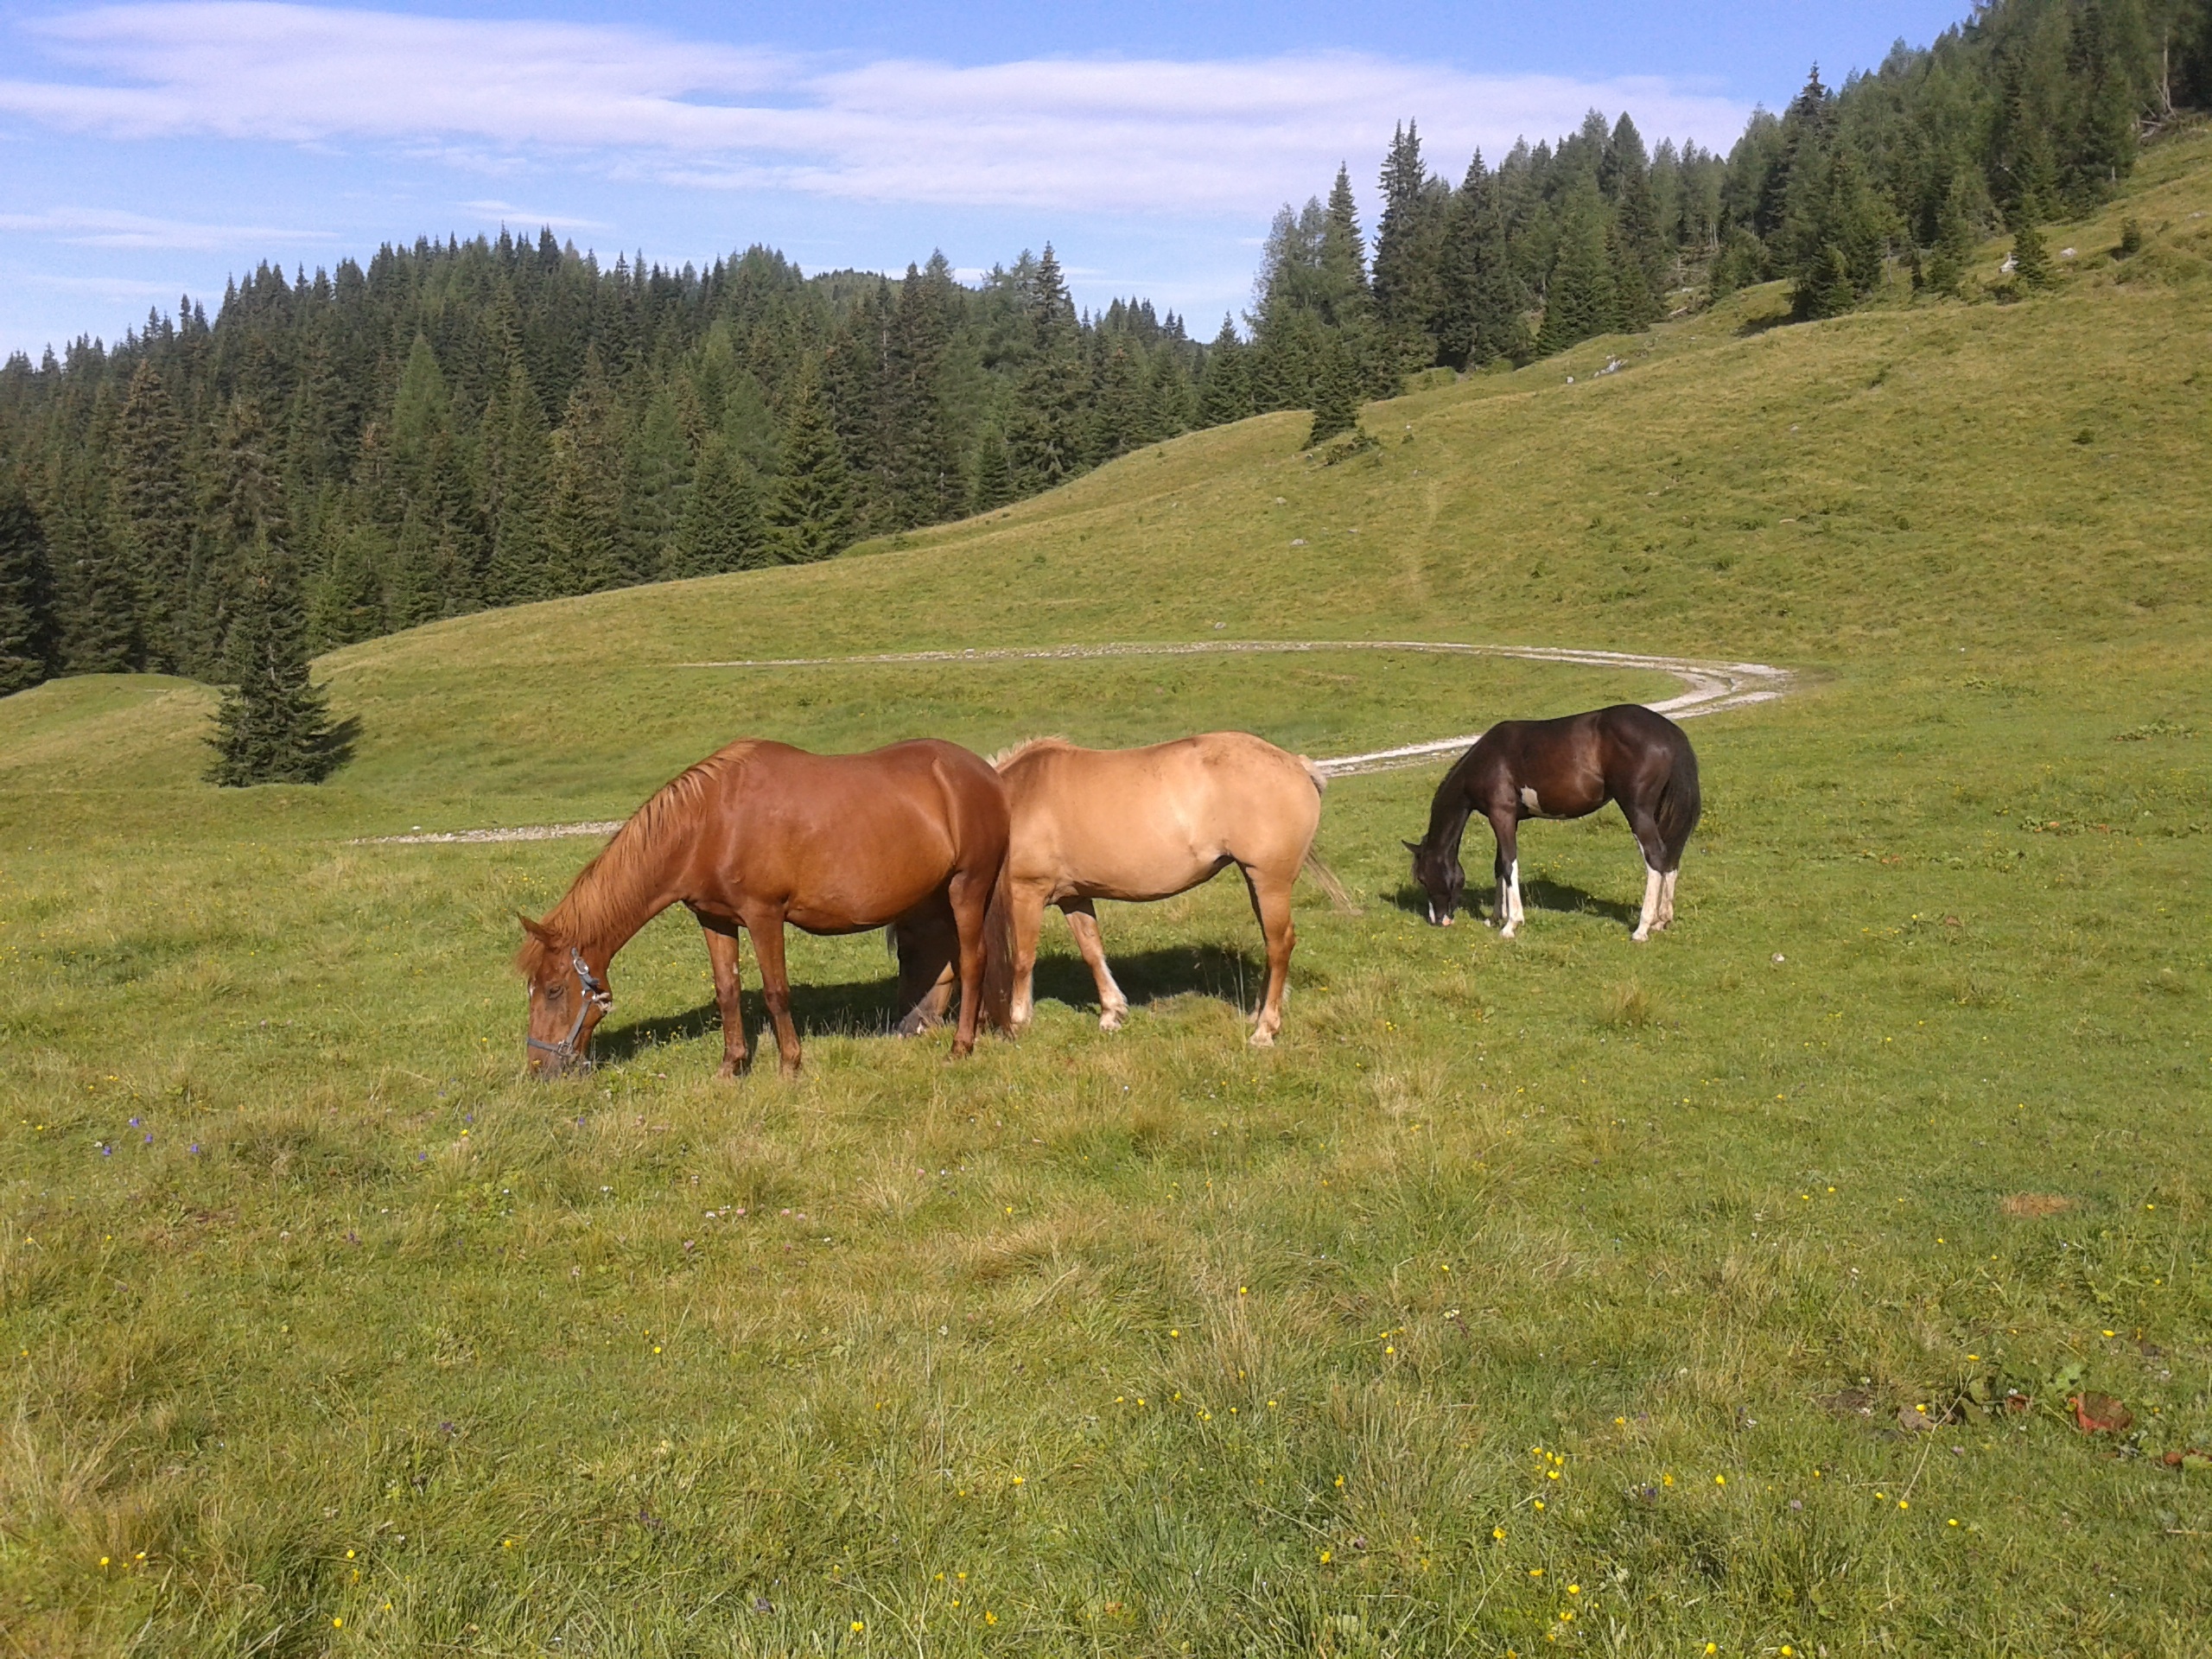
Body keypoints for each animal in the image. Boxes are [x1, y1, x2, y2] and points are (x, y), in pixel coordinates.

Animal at [516, 739, 1013, 1078]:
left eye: (554, 989)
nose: (539, 1067)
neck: (709, 824)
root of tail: (985, 774)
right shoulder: (715, 919)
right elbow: (728, 990)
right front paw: (731, 1066)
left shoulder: (764, 916)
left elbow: (776, 992)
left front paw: (790, 1064)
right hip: (943, 894)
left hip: (968, 887)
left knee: (973, 961)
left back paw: (961, 1047)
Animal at [958, 732, 1347, 1046]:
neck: (1013, 801)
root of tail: (1296, 765)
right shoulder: (1074, 896)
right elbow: (1092, 951)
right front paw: (1112, 1013)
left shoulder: (1028, 892)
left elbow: (1024, 959)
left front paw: (1019, 1019)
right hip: (1257, 882)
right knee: (1271, 942)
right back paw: (1257, 1014)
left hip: (1270, 881)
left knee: (1280, 945)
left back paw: (1265, 1030)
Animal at [1405, 704, 1700, 941]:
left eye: (1422, 877)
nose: (1437, 920)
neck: (1488, 760)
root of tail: (1670, 732)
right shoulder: (1507, 819)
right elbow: (1500, 866)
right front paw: (1496, 916)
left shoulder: (1501, 815)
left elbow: (1509, 865)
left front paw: (1511, 924)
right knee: (1670, 858)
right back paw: (1662, 920)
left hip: (1637, 810)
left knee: (1655, 857)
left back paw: (1642, 928)